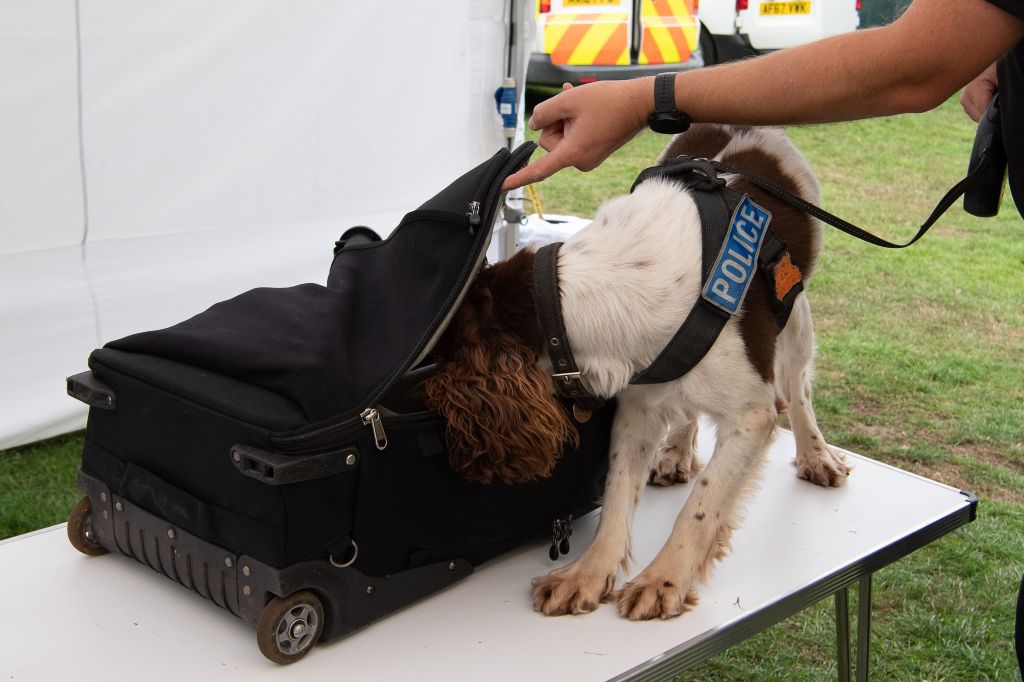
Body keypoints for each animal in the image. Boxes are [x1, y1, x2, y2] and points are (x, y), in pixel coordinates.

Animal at [419, 124, 843, 618]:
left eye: (440, 354)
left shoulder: (752, 414)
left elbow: (703, 503)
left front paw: (663, 579)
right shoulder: (638, 400)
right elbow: (619, 491)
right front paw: (587, 573)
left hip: (793, 309)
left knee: (797, 387)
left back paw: (816, 455)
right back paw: (676, 452)